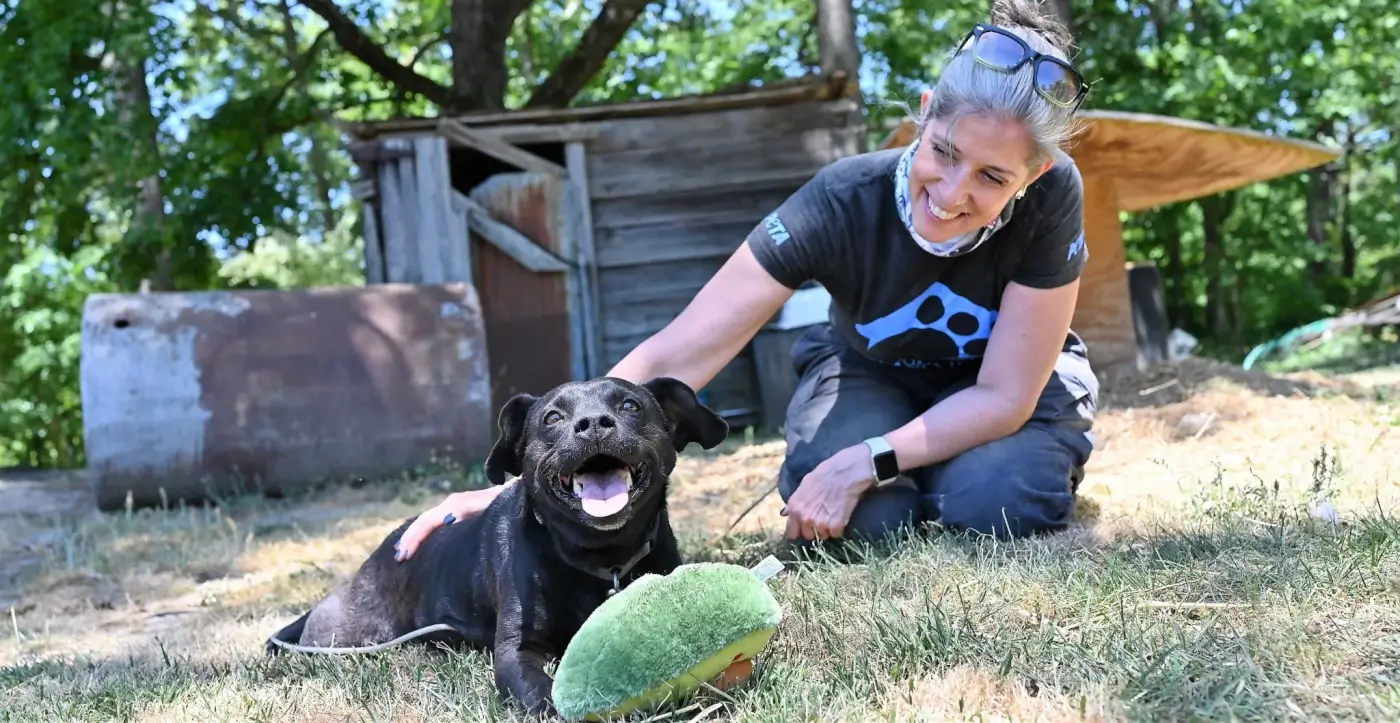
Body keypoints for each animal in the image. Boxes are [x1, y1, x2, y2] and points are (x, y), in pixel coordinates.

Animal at [263, 375, 728, 714]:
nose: (593, 424)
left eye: (630, 406)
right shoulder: (516, 651)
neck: (600, 557)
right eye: (552, 418)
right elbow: (543, 695)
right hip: (346, 637)